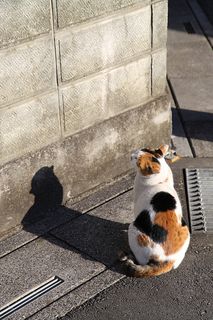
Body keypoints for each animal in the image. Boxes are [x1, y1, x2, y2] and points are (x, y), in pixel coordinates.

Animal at [120, 144, 191, 276]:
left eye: (137, 160)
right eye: (138, 151)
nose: (130, 156)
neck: (160, 180)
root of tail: (167, 261)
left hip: (134, 230)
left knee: (141, 260)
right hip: (185, 230)